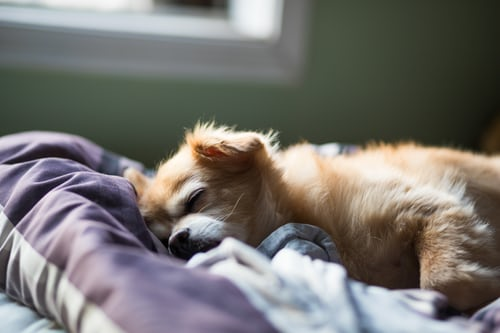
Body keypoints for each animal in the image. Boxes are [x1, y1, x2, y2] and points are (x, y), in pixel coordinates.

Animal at [126, 122, 500, 312]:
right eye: (162, 237)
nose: (176, 242)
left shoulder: (436, 208)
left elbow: (440, 280)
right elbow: (440, 283)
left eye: (195, 199)